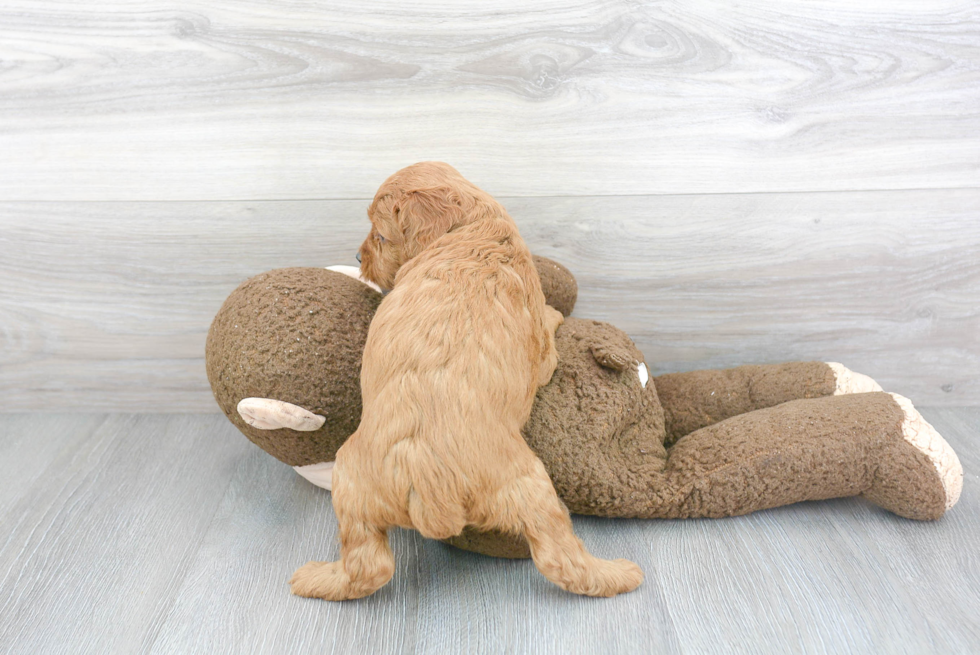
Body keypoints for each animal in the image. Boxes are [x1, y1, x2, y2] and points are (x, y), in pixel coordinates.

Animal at [290, 163, 644, 600]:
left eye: (381, 236)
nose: (358, 258)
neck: (471, 232)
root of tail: (426, 476)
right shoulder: (543, 353)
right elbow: (549, 325)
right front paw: (554, 312)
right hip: (530, 485)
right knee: (561, 558)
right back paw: (619, 573)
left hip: (351, 480)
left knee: (368, 564)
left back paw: (317, 579)